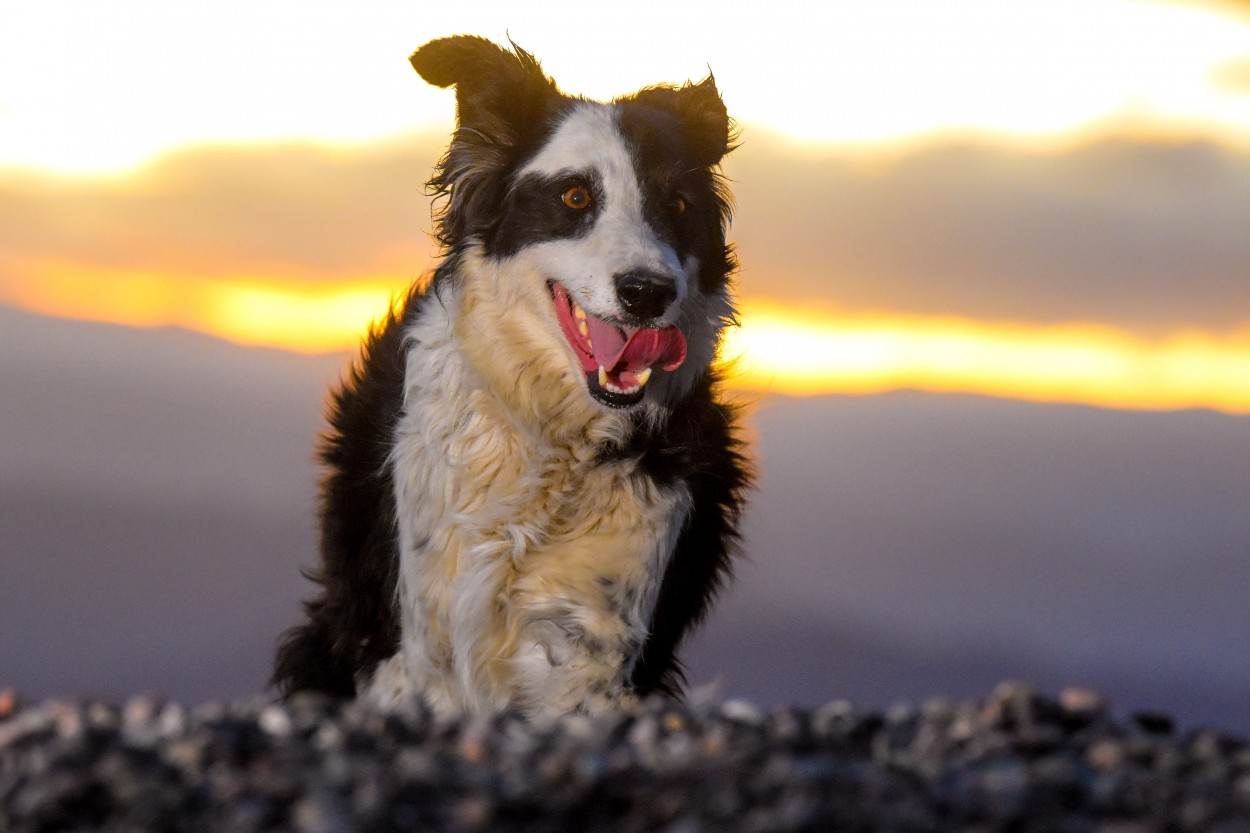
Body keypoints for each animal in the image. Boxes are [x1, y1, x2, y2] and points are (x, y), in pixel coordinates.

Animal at [272, 37, 745, 715]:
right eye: (575, 198)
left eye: (678, 205)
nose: (648, 292)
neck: (554, 432)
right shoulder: (418, 633)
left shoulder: (597, 634)